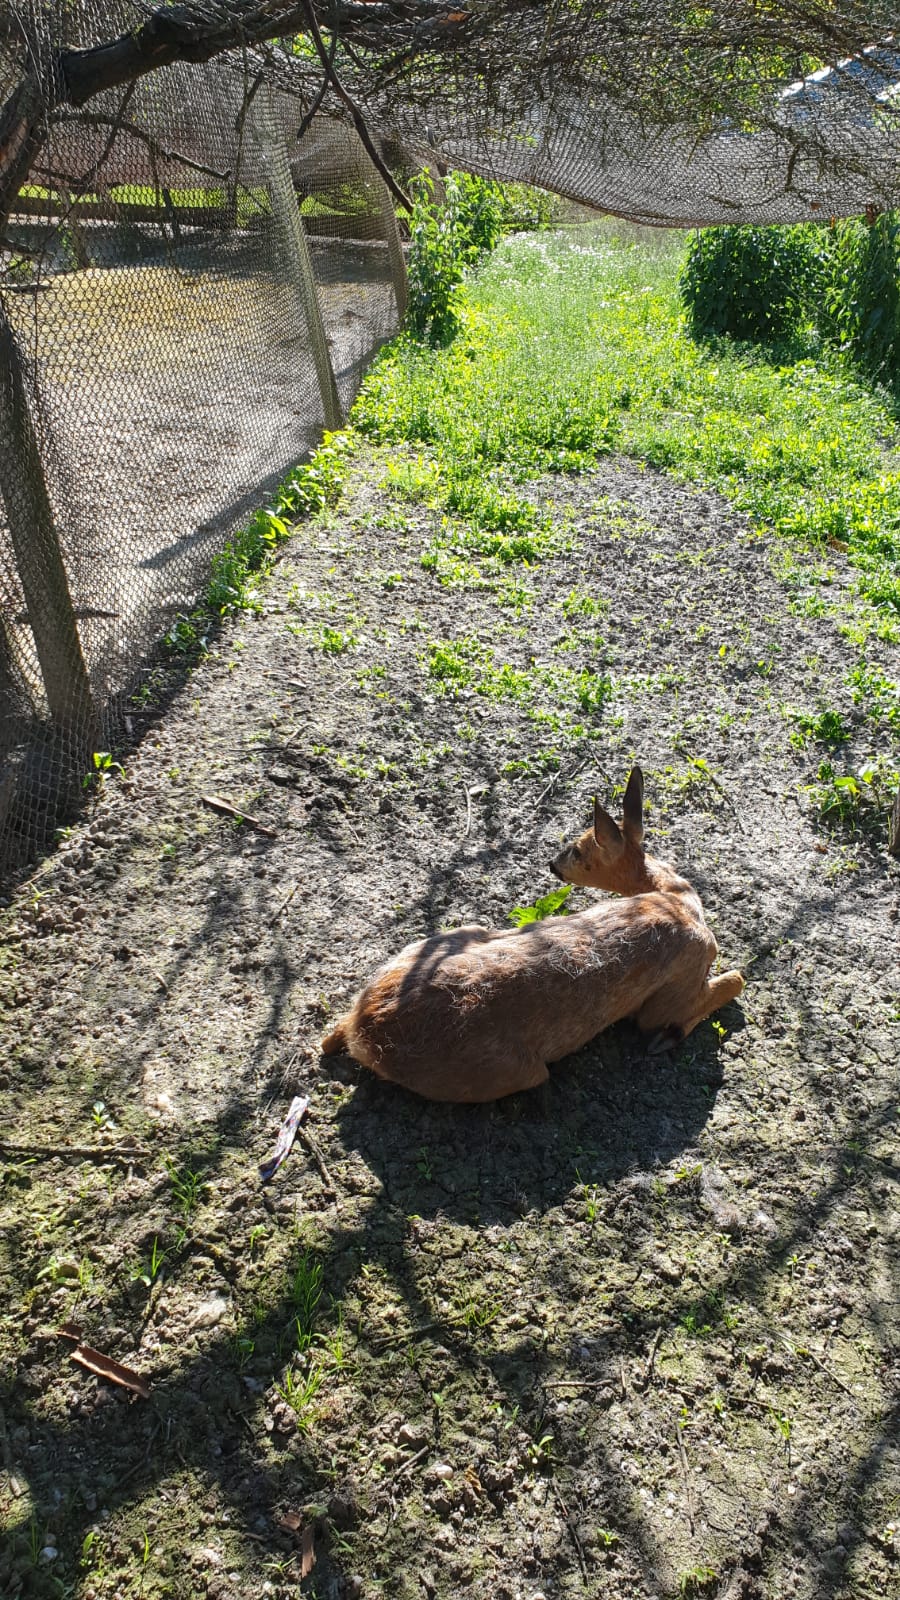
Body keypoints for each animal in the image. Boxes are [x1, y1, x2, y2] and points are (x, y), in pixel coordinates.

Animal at [320, 767, 744, 1102]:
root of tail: (364, 1031)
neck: (677, 898)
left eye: (577, 850)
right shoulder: (671, 995)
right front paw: (666, 1039)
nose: (552, 864)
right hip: (512, 1070)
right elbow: (733, 980)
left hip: (451, 937)